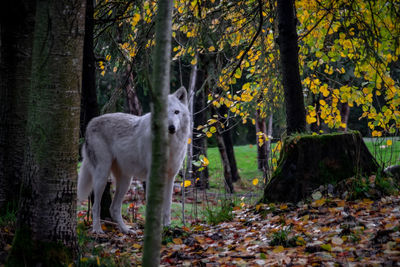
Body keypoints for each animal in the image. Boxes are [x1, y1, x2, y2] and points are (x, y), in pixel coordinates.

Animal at [79, 87, 191, 234]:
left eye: (176, 112)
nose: (171, 128)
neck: (170, 145)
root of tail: (90, 123)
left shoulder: (171, 177)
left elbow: (167, 206)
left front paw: (167, 227)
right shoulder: (151, 178)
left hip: (126, 181)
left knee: (113, 208)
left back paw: (126, 230)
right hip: (102, 177)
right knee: (96, 206)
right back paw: (97, 230)